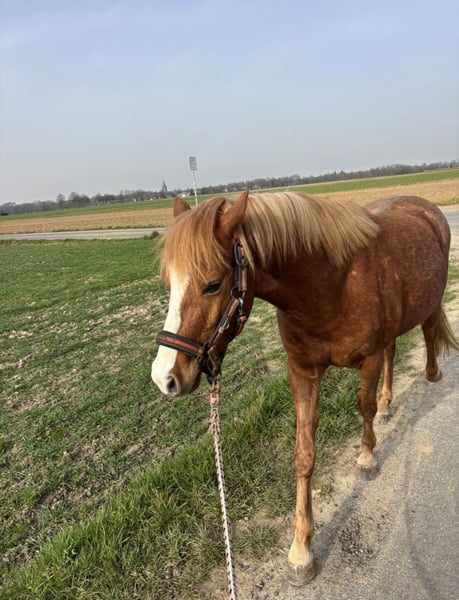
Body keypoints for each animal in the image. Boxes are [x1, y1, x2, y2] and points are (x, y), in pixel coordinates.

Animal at [151, 191, 458, 585]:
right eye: (169, 283)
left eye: (213, 284)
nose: (165, 377)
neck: (331, 285)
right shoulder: (302, 372)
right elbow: (304, 453)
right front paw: (301, 549)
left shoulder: (369, 360)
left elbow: (364, 407)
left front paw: (367, 457)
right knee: (394, 350)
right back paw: (389, 402)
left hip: (428, 305)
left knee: (429, 331)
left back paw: (432, 376)